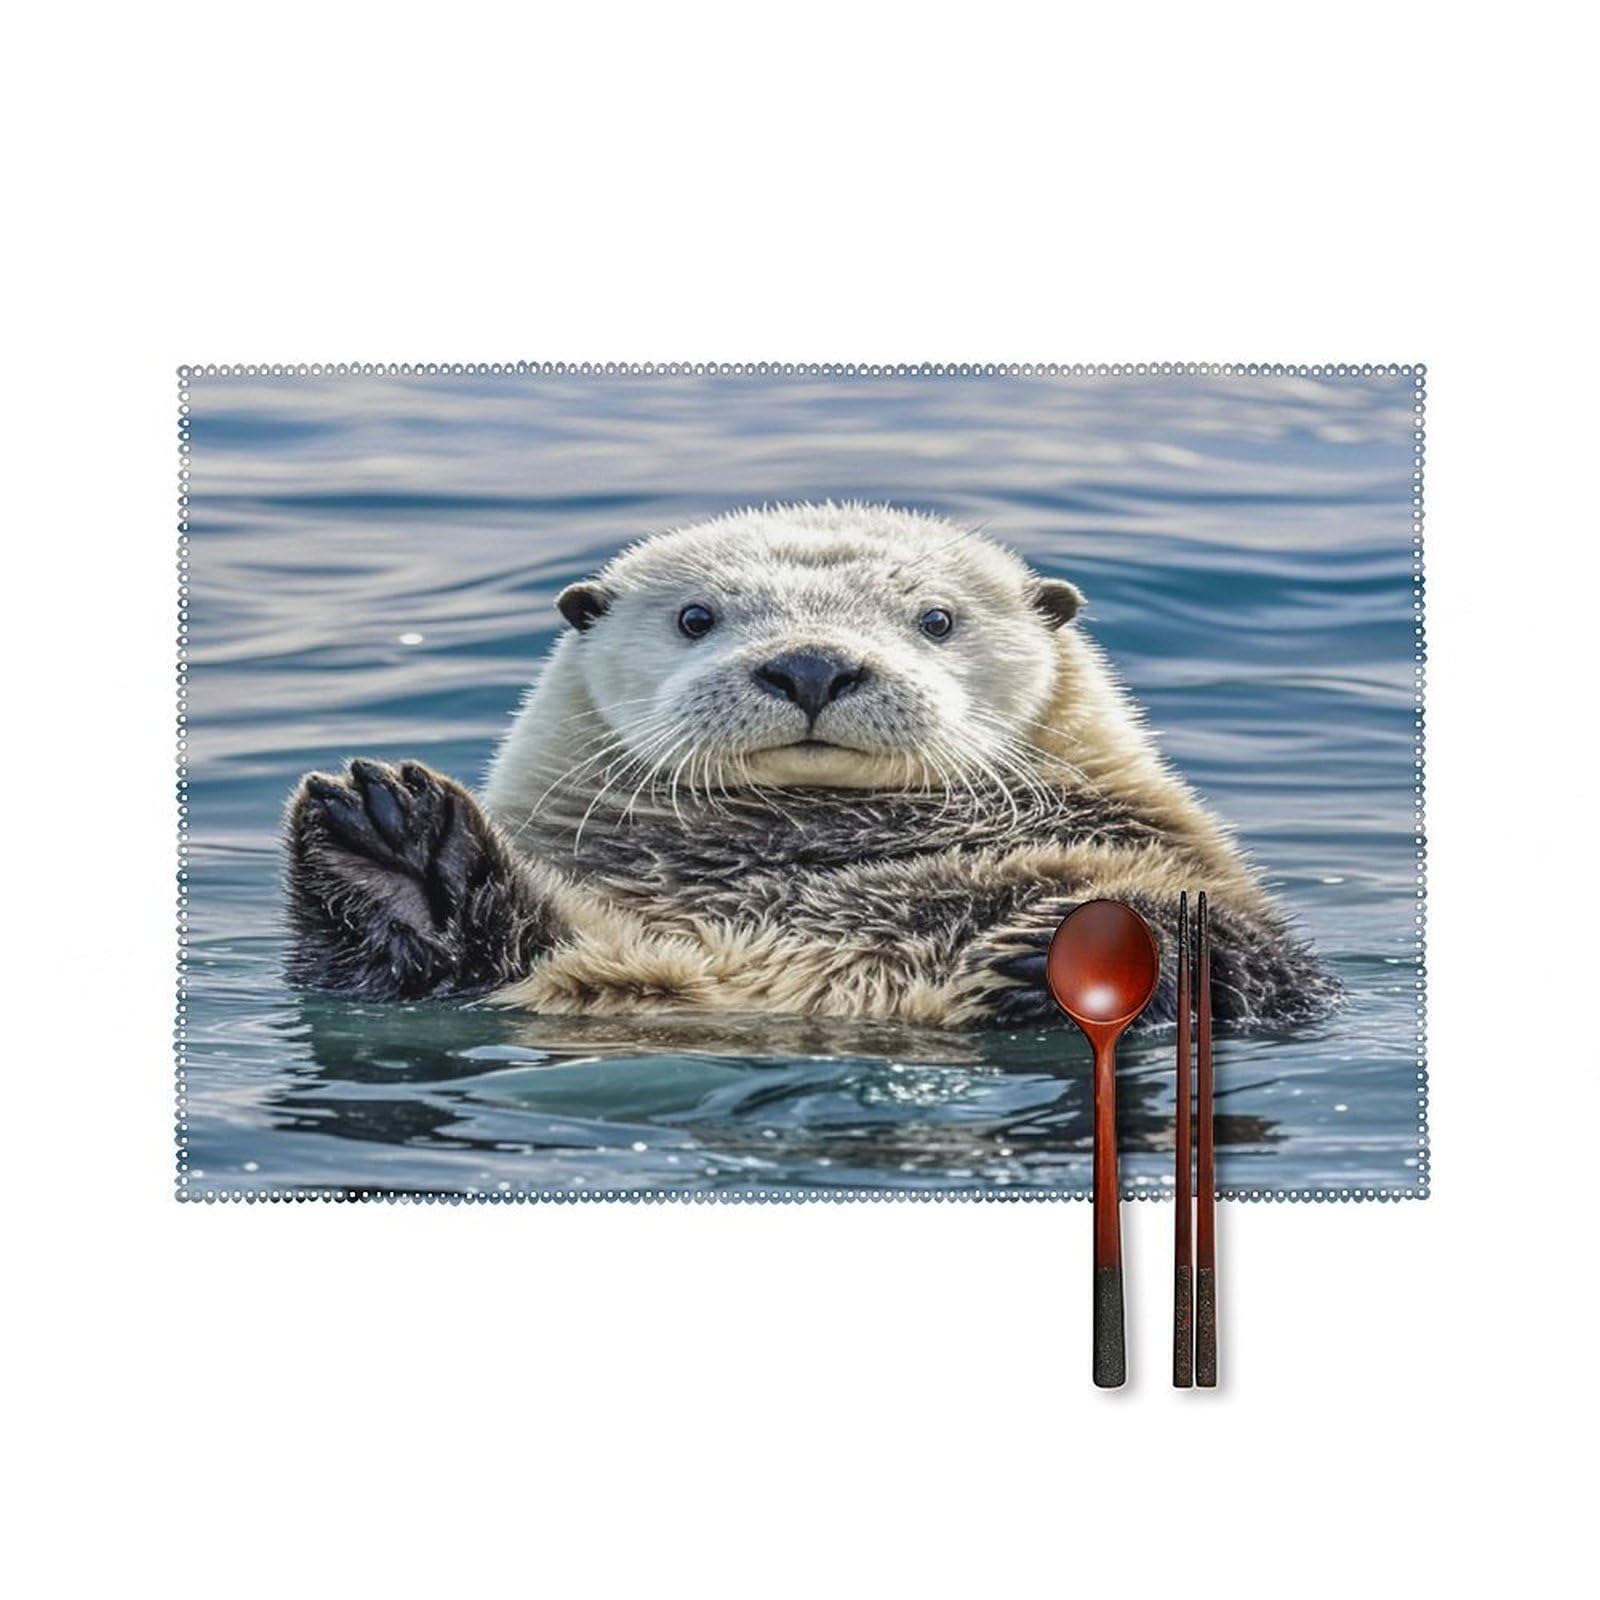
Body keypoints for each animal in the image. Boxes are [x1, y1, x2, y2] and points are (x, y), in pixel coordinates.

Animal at [283, 503, 1337, 1029]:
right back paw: (399, 850)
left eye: (936, 619)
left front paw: (1054, 951)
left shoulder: (1176, 861)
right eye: (695, 617)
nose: (814, 665)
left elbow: (1254, 955)